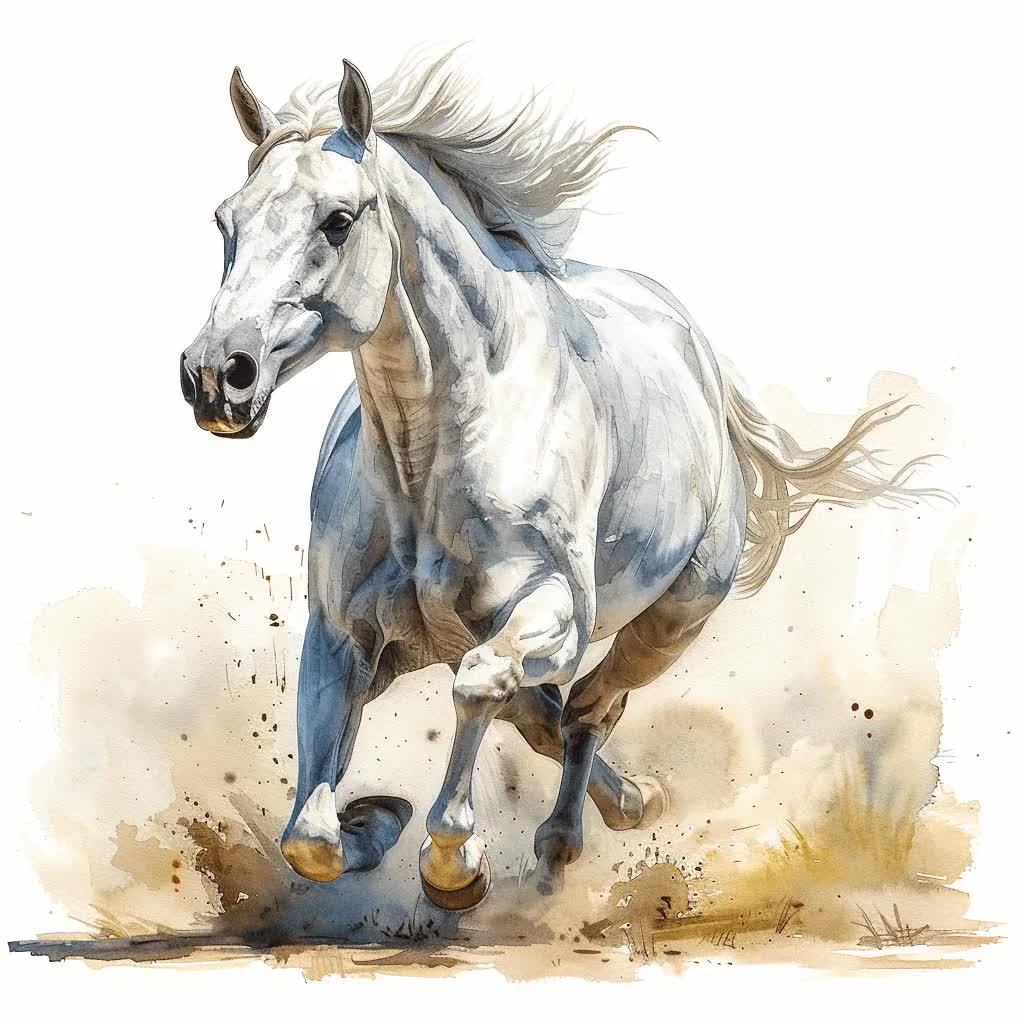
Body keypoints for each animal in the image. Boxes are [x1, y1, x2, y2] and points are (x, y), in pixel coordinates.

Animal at [179, 52, 938, 910]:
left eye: (337, 220)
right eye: (227, 221)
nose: (218, 376)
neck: (429, 457)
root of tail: (700, 358)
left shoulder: (555, 615)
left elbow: (483, 687)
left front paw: (455, 865)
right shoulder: (342, 640)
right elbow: (309, 836)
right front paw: (374, 821)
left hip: (667, 625)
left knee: (585, 709)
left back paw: (584, 829)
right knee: (557, 715)